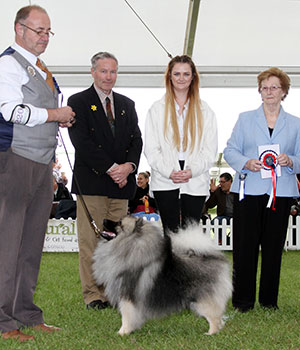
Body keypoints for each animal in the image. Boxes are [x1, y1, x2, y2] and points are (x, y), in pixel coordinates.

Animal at [91, 216, 232, 336]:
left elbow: (126, 316)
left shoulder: (127, 296)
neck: (130, 244)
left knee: (215, 316)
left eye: (119, 223)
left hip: (203, 300)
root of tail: (215, 258)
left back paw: (211, 333)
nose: (104, 220)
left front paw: (122, 332)